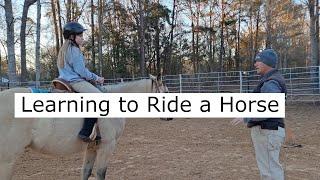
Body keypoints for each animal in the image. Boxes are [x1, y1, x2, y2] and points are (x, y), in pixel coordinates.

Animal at [0, 75, 168, 180]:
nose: (170, 117)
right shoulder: (108, 145)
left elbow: (86, 172)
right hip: (7, 160)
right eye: (166, 92)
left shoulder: (92, 146)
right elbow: (100, 174)